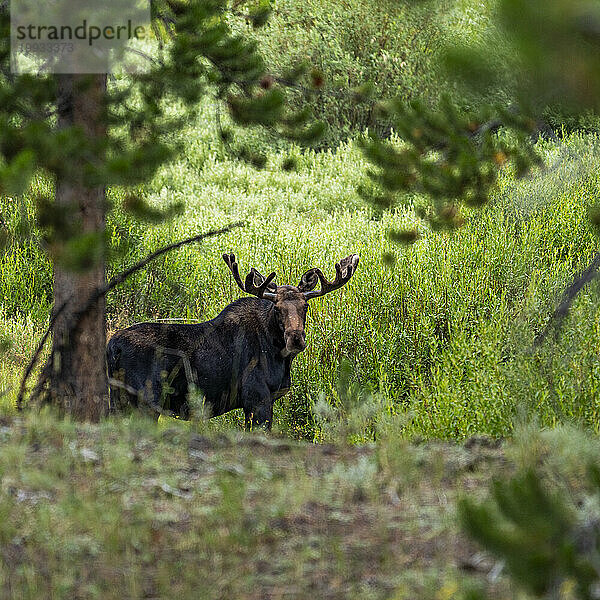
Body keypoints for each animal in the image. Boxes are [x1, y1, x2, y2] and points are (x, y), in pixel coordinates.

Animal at [106, 251, 358, 428]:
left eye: (305, 306)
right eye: (277, 308)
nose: (295, 339)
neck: (279, 355)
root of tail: (112, 347)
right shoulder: (257, 398)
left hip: (119, 400)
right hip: (145, 401)